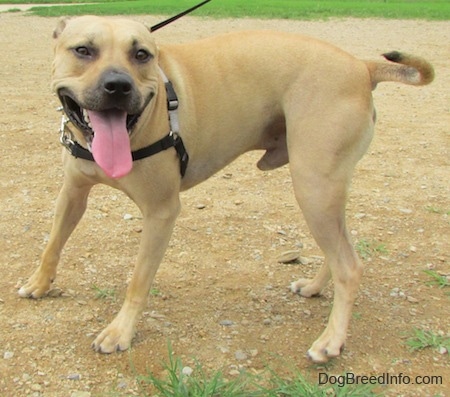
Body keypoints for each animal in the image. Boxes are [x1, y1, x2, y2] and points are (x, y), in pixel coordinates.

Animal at [19, 15, 434, 362]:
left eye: (141, 54)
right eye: (82, 50)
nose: (118, 85)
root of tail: (361, 66)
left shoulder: (161, 212)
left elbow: (137, 280)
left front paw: (120, 331)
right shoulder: (72, 193)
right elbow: (53, 243)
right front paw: (39, 283)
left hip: (314, 187)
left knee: (349, 265)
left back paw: (331, 340)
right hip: (325, 192)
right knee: (343, 251)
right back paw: (315, 288)